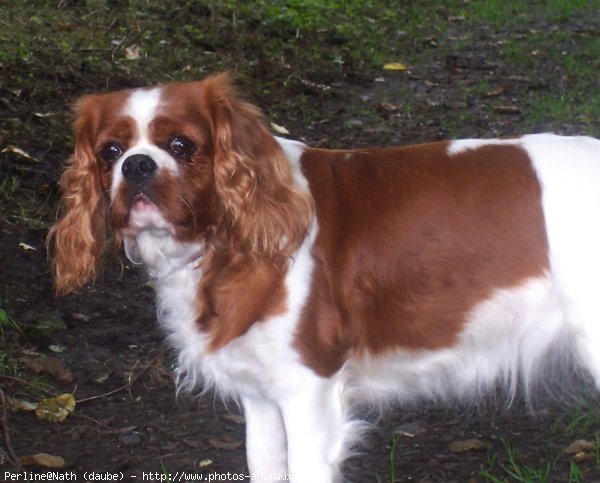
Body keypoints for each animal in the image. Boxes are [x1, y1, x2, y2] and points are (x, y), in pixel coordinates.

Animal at [50, 73, 600, 482]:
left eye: (183, 145)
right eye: (110, 151)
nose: (137, 166)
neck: (229, 238)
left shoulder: (308, 390)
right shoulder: (261, 399)